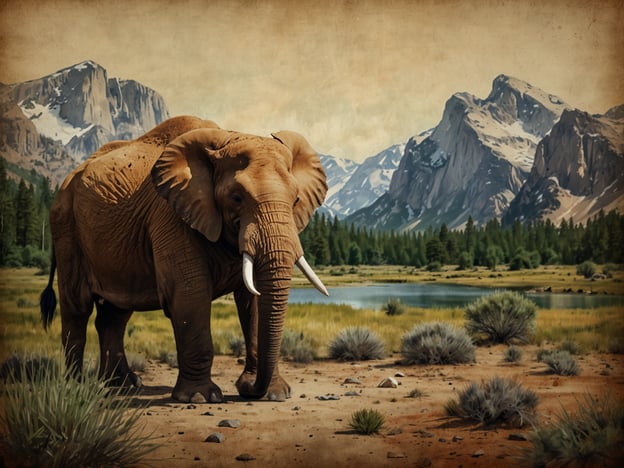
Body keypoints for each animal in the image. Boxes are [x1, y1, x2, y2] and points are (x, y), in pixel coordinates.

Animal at [39, 116, 330, 402]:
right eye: (236, 198)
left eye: (296, 199)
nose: (250, 390)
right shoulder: (171, 215)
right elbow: (190, 293)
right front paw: (201, 397)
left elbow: (255, 300)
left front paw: (274, 394)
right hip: (66, 229)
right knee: (77, 309)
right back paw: (77, 387)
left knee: (114, 316)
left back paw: (123, 385)